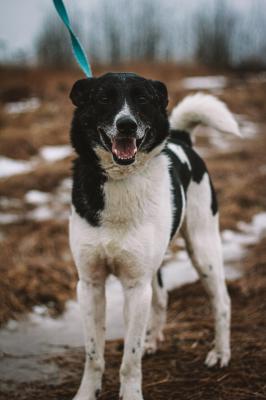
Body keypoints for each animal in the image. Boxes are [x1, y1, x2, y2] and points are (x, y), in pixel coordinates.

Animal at [68, 72, 239, 400]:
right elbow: (93, 354)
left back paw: (221, 353)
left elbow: (129, 359)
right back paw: (152, 339)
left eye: (143, 99)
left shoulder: (136, 287)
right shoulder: (90, 284)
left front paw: (131, 393)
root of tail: (182, 139)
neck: (121, 179)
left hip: (203, 248)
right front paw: (86, 393)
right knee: (161, 295)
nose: (126, 124)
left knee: (222, 302)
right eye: (103, 98)